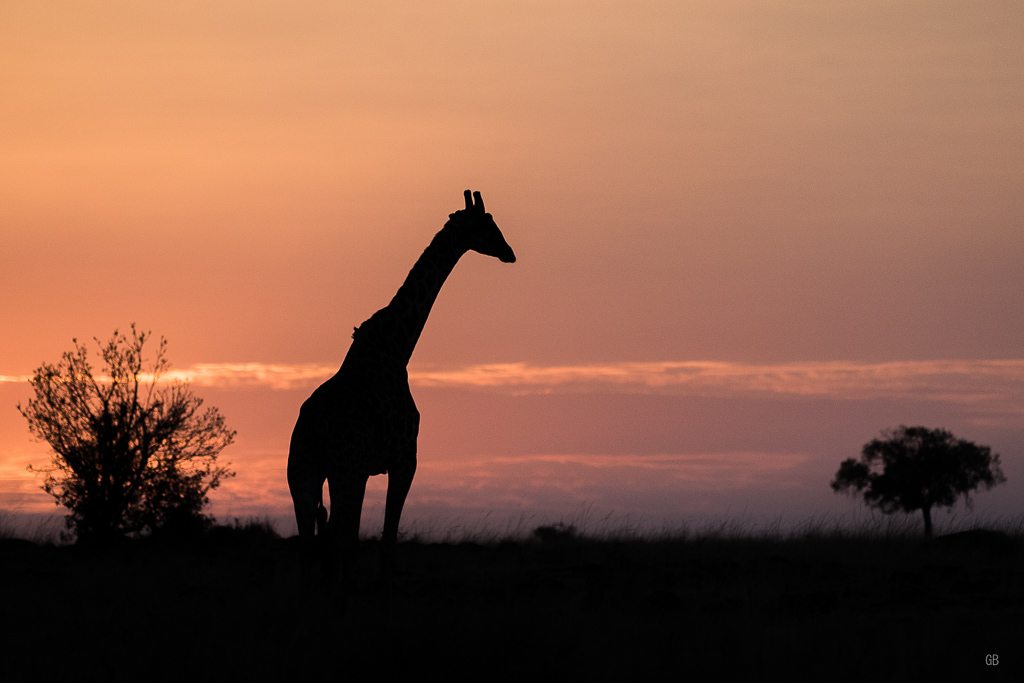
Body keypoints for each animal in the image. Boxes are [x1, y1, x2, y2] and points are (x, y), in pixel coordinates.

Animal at [287, 190, 515, 587]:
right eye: (485, 225)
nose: (510, 252)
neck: (396, 348)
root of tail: (313, 432)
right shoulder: (405, 458)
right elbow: (385, 547)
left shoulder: (367, 468)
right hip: (342, 471)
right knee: (334, 541)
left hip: (303, 473)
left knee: (311, 547)